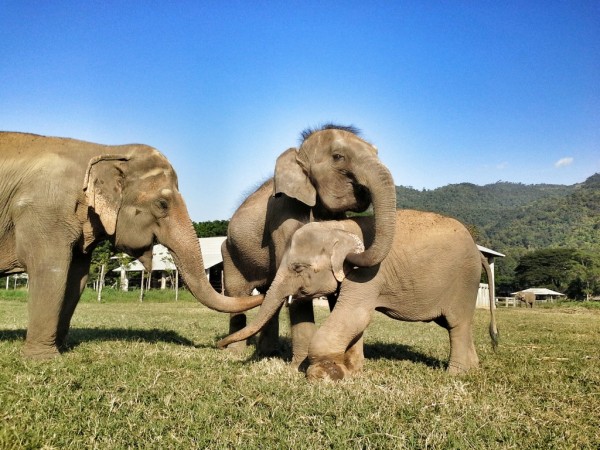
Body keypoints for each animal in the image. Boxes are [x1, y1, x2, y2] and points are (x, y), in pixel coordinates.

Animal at [0, 131, 262, 358]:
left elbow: (77, 277)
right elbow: (50, 269)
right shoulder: (44, 210)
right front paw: (44, 358)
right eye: (162, 204)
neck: (107, 149)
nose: (218, 345)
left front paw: (61, 348)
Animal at [218, 210, 500, 380]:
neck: (340, 227)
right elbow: (350, 318)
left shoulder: (367, 273)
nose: (220, 345)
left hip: (463, 281)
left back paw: (455, 374)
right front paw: (353, 370)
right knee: (460, 326)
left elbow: (354, 315)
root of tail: (480, 253)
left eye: (298, 268)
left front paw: (324, 375)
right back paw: (472, 368)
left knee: (457, 325)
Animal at [219, 125, 394, 364]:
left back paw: (268, 352)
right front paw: (300, 364)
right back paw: (234, 353)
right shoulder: (284, 215)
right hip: (230, 254)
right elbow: (298, 291)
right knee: (238, 294)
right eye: (338, 157)